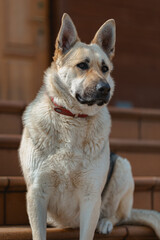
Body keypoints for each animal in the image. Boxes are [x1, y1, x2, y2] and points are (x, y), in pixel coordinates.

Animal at [19, 13, 160, 240]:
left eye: (105, 68)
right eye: (82, 66)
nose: (106, 88)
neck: (74, 118)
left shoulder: (90, 197)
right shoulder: (36, 194)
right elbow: (38, 233)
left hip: (122, 167)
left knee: (117, 216)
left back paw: (105, 223)